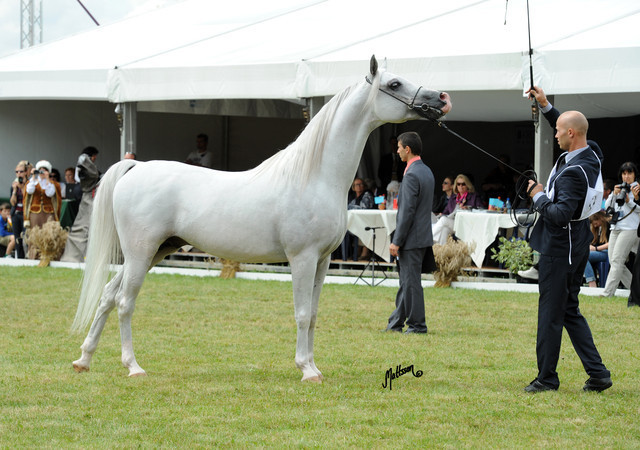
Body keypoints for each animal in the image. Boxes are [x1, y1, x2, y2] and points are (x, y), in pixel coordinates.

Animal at [71, 55, 451, 383]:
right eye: (395, 83)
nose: (442, 98)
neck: (313, 177)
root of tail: (135, 167)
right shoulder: (302, 259)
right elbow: (301, 314)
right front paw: (306, 370)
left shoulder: (323, 261)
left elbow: (313, 315)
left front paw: (314, 366)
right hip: (140, 253)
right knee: (124, 302)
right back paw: (133, 366)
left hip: (155, 252)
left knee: (107, 296)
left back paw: (84, 359)